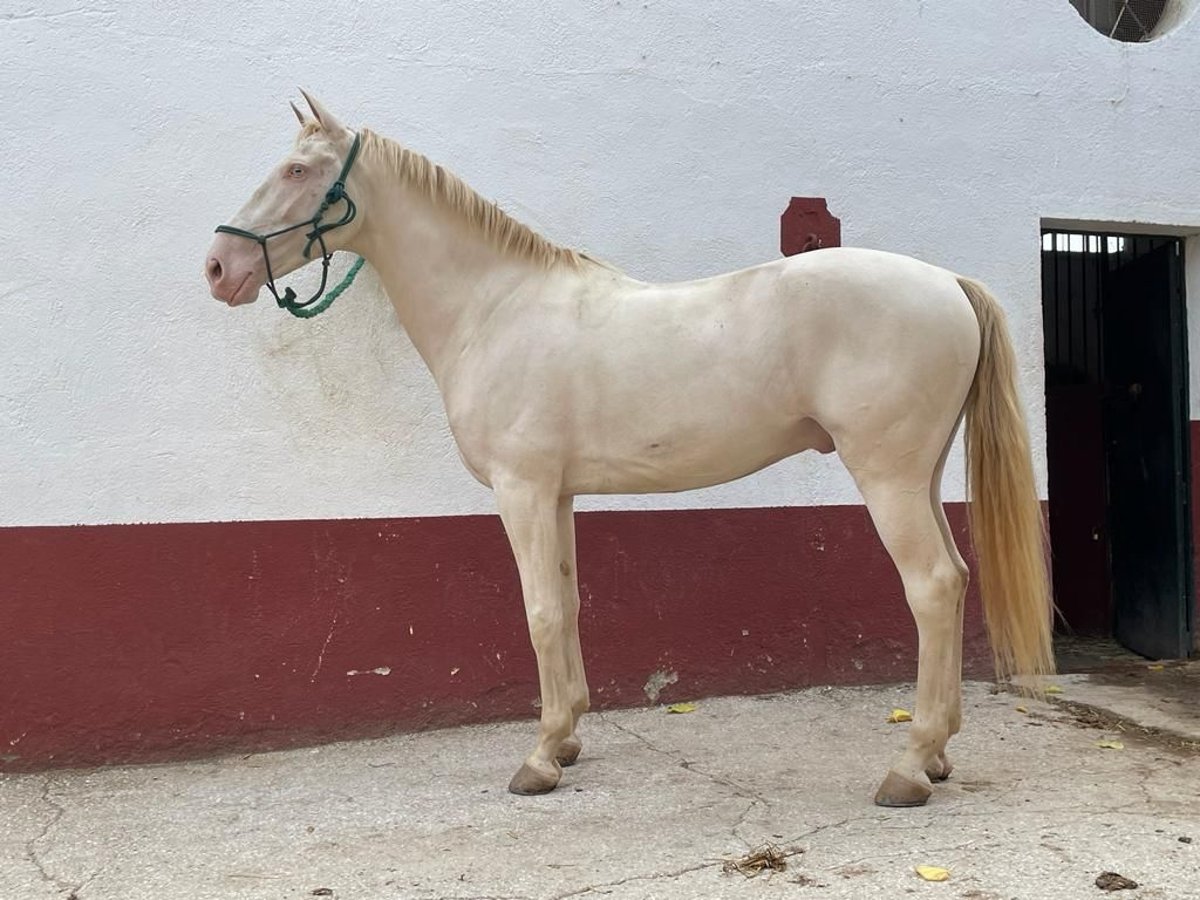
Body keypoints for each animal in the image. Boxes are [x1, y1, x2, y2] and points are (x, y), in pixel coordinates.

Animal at [206, 91, 1051, 811]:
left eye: (298, 170)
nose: (219, 268)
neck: (495, 307)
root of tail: (947, 281)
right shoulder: (556, 494)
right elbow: (569, 602)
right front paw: (568, 737)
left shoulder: (520, 489)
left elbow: (539, 611)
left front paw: (540, 758)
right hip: (922, 475)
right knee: (956, 578)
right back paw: (938, 756)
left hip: (887, 476)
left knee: (932, 586)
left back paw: (909, 768)